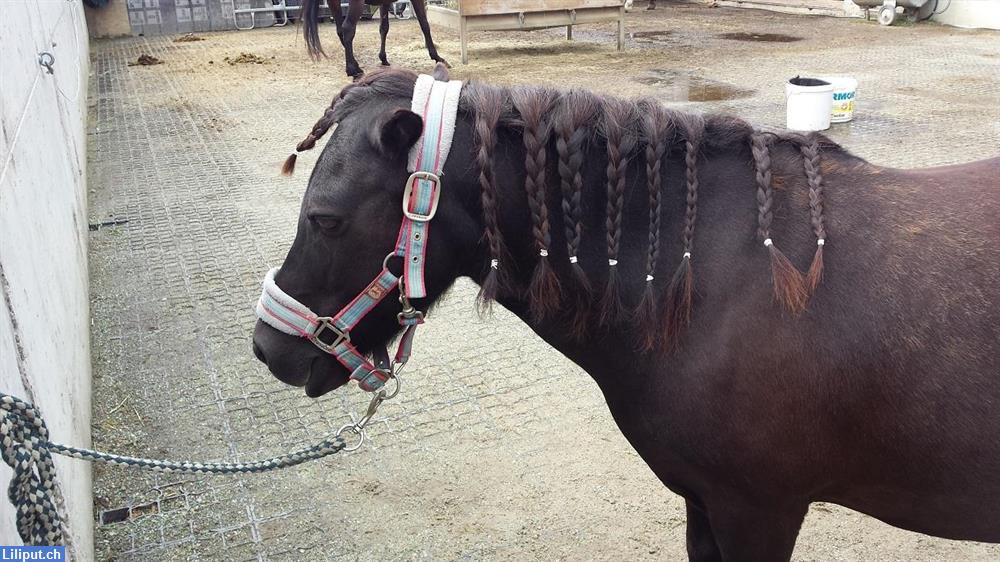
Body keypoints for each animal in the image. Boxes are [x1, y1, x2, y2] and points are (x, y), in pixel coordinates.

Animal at [298, 0, 448, 77]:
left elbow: (384, 28)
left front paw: (383, 58)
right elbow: (424, 24)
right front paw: (437, 57)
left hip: (333, 3)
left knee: (340, 31)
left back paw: (356, 65)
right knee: (348, 29)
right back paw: (352, 70)